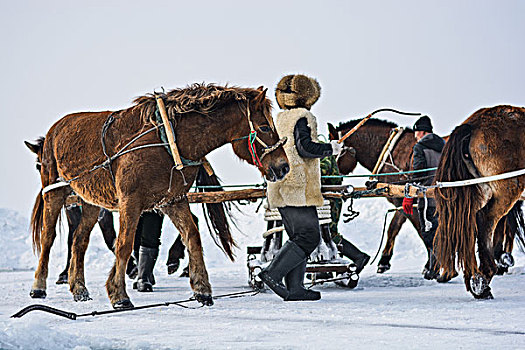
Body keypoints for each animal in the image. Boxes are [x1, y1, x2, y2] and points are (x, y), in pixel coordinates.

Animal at [30, 83, 288, 308]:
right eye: (265, 127)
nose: (283, 166)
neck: (168, 139)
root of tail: (55, 129)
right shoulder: (131, 201)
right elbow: (124, 244)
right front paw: (118, 293)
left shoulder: (172, 200)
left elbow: (192, 236)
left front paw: (202, 289)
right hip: (54, 192)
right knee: (48, 238)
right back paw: (39, 286)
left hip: (91, 200)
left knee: (79, 240)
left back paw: (79, 288)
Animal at [434, 105, 524, 300]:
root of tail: (473, 124)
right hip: (507, 189)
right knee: (485, 221)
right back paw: (483, 282)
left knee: (469, 225)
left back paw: (475, 278)